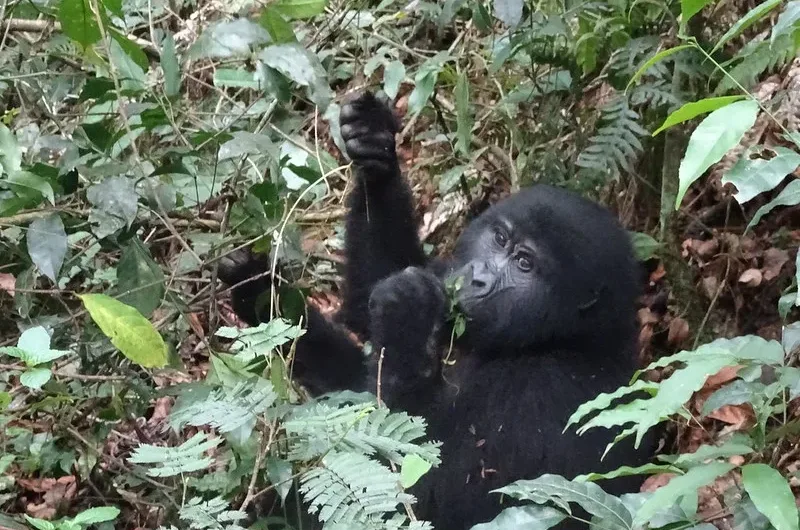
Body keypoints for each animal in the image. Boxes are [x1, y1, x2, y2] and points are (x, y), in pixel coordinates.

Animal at [219, 92, 656, 528]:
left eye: (524, 264)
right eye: (500, 239)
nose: (477, 277)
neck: (567, 338)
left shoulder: (545, 392)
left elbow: (429, 493)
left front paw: (405, 313)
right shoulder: (447, 276)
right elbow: (364, 320)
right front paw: (374, 152)